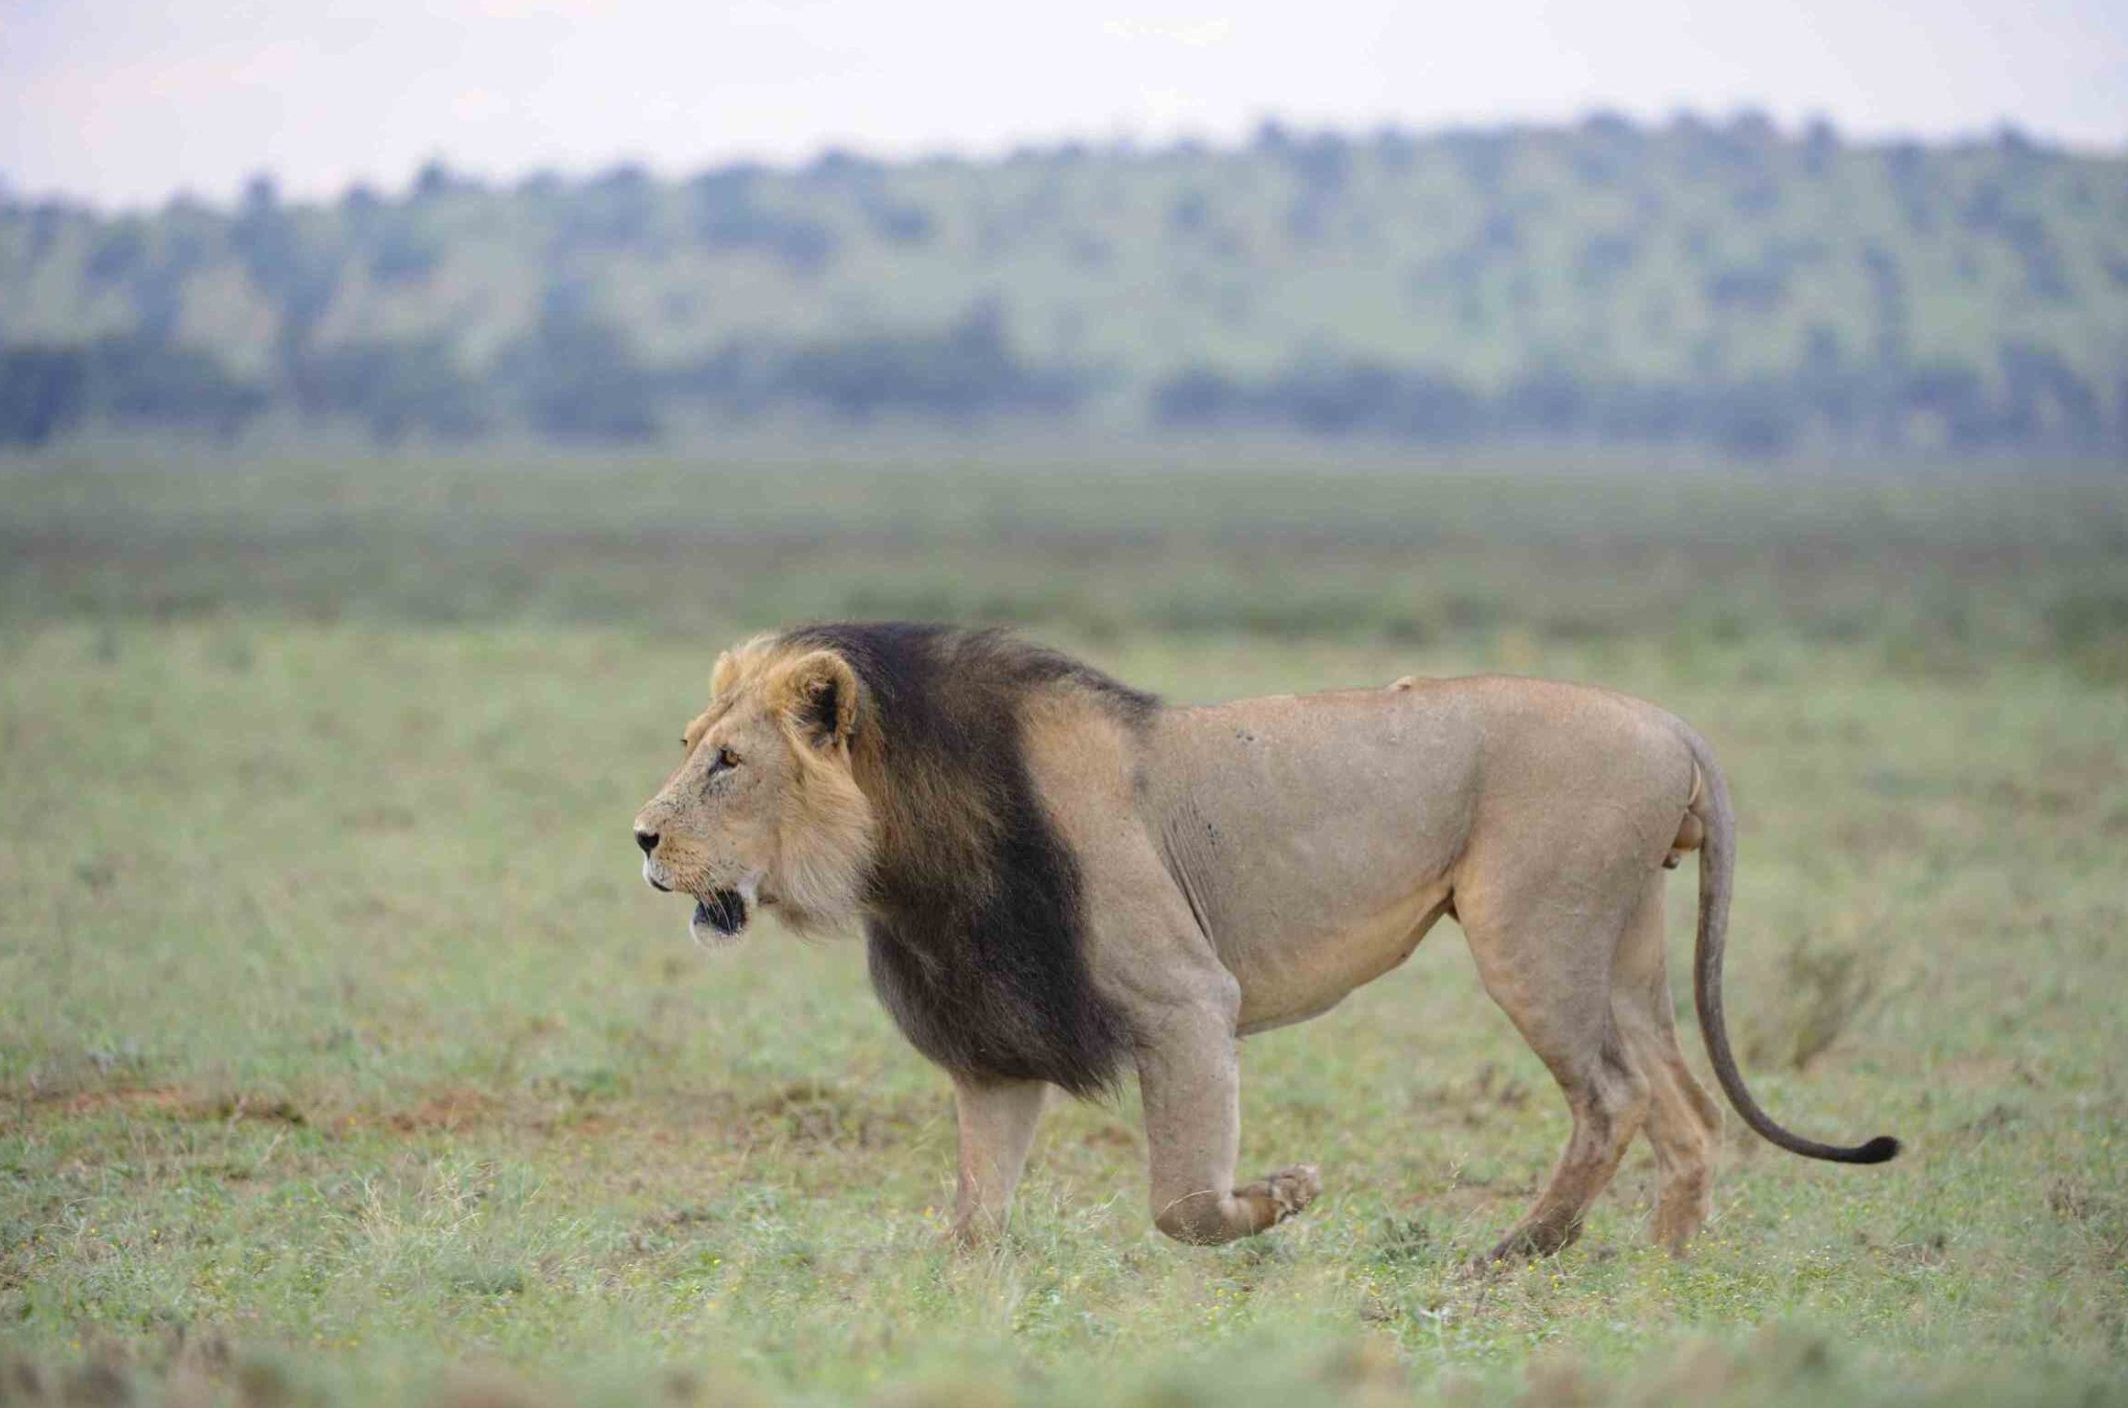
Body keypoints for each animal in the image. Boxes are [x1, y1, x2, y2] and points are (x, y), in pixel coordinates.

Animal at [632, 623, 1898, 1257]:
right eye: (691, 743)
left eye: (729, 764)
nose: (642, 836)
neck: (907, 865)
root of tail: (1670, 721)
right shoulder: (996, 1048)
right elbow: (972, 1213)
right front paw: (968, 1298)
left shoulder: (1186, 999)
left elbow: (1181, 1204)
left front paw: (1281, 1196)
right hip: (1622, 942)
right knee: (1685, 1106)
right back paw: (1666, 1261)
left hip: (1531, 928)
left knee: (1615, 1097)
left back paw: (1518, 1249)